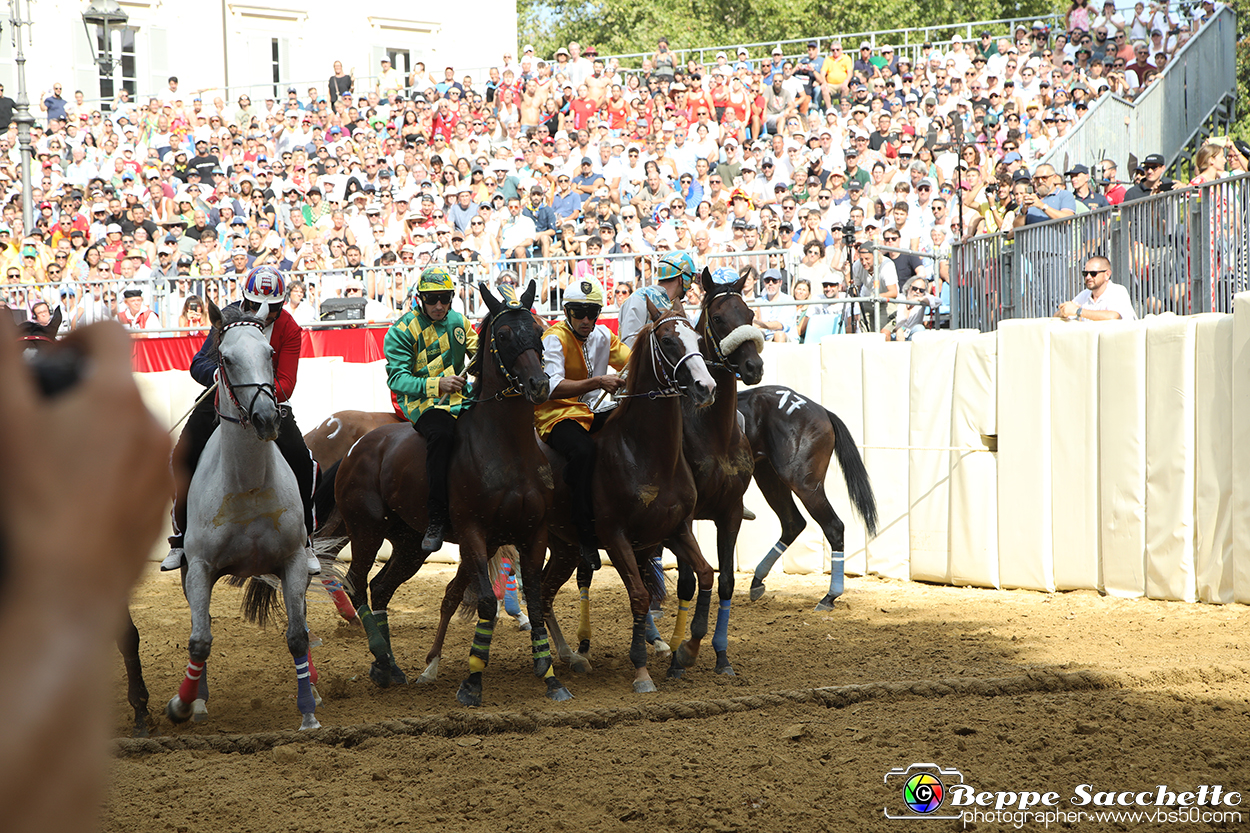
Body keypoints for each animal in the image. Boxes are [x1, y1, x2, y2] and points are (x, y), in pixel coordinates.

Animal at [332, 282, 567, 705]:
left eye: (539, 331)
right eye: (503, 334)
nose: (539, 384)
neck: (507, 449)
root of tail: (357, 446)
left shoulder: (533, 532)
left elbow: (537, 598)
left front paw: (551, 676)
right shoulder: (474, 533)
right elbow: (487, 601)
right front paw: (472, 681)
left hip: (409, 543)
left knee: (380, 587)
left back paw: (389, 666)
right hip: (366, 529)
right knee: (356, 583)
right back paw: (381, 657)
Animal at [540, 301, 725, 690]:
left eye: (697, 337)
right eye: (668, 340)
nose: (706, 387)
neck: (645, 453)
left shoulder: (677, 530)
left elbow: (704, 574)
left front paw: (687, 651)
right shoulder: (616, 537)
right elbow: (640, 596)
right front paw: (641, 669)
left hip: (563, 547)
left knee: (543, 591)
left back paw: (569, 655)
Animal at [735, 385, 875, 610]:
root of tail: (822, 411)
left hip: (803, 483)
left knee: (833, 526)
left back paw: (830, 596)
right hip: (768, 475)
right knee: (793, 523)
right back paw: (757, 580)